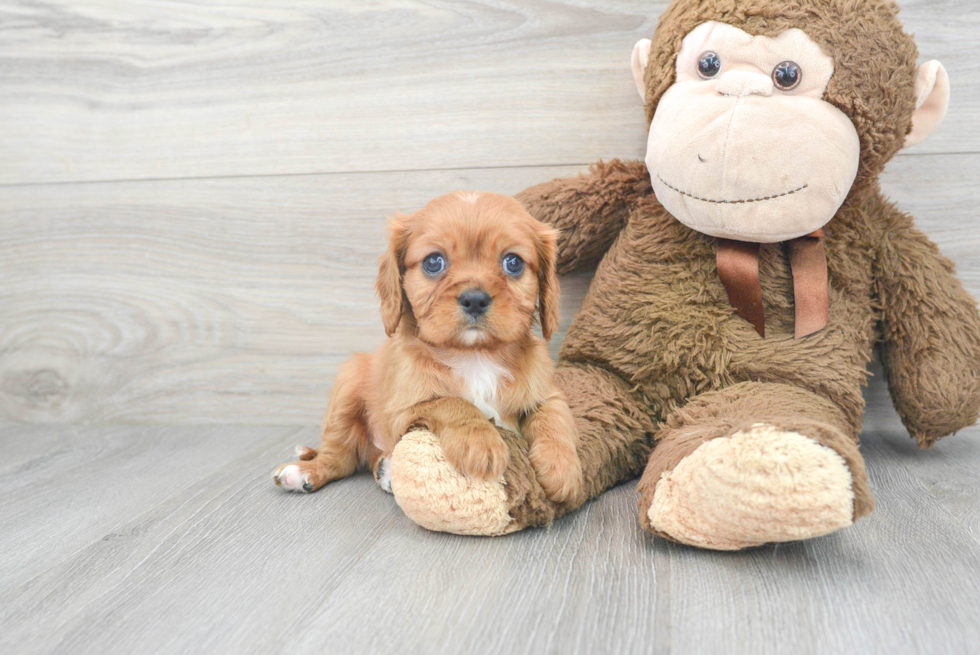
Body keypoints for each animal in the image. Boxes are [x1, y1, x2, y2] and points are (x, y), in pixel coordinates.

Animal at [270, 192, 580, 504]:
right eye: (434, 262)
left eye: (513, 262)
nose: (475, 299)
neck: (475, 356)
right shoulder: (402, 411)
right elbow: (452, 402)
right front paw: (480, 442)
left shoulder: (546, 392)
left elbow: (553, 417)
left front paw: (561, 466)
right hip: (348, 384)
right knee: (341, 456)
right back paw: (306, 471)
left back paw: (385, 470)